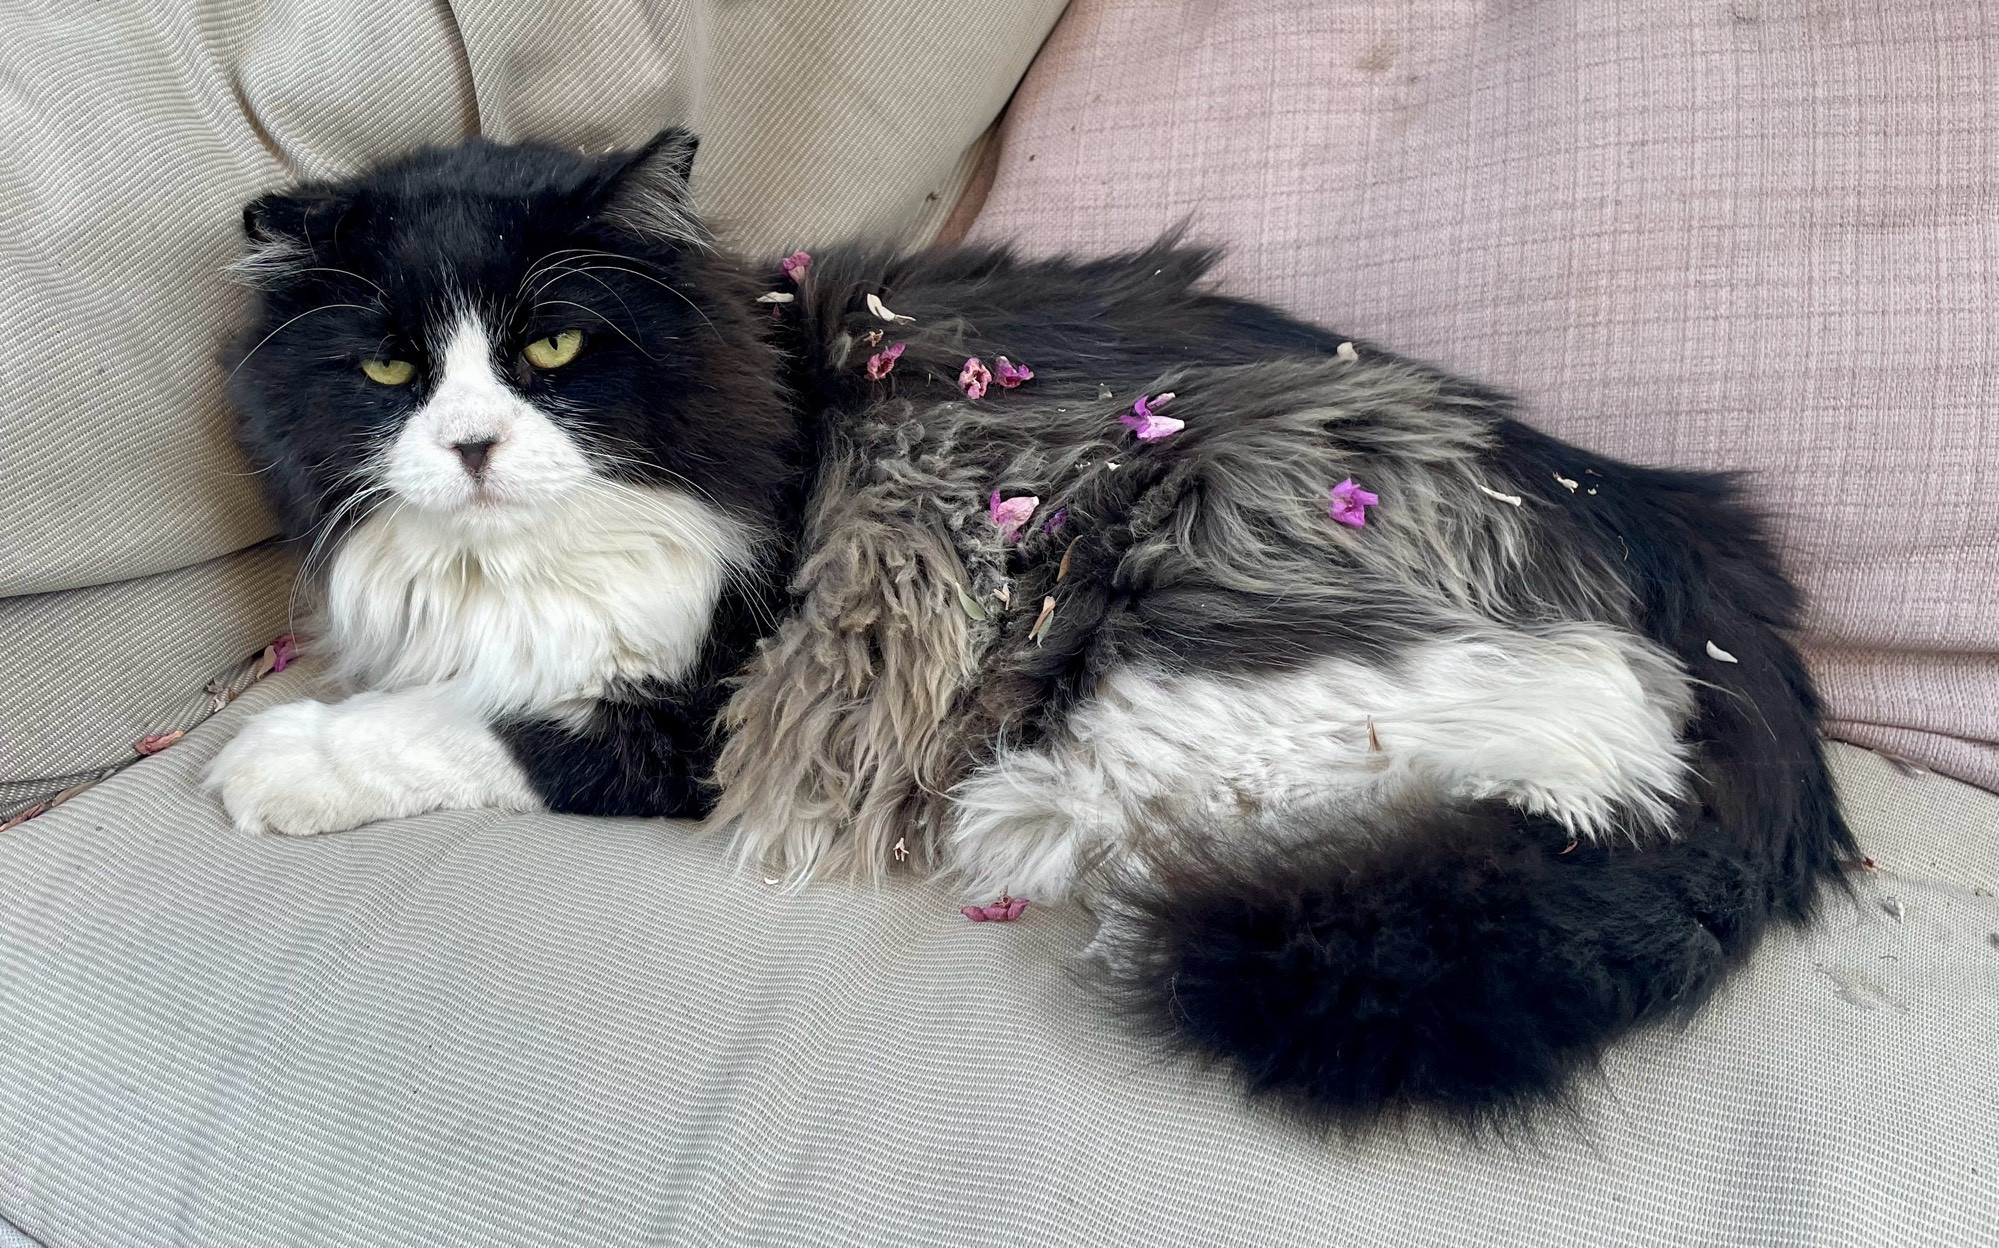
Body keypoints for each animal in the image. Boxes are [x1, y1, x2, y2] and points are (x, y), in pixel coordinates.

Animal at [206, 129, 1855, 1120]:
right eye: (390, 371)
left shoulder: (693, 699)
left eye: (550, 348)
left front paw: (275, 762)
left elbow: (467, 721)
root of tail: (1666, 526)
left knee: (1538, 749)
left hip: (1202, 580)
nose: (473, 448)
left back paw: (1032, 818)